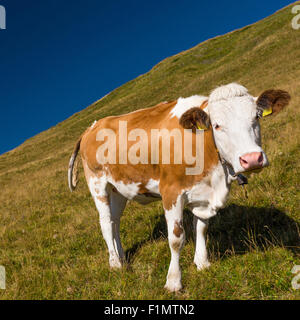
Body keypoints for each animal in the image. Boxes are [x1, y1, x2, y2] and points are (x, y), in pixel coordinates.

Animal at [68, 83, 290, 292]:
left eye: (256, 117)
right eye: (217, 125)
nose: (252, 159)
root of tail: (91, 127)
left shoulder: (204, 193)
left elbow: (202, 227)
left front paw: (202, 263)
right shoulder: (170, 191)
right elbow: (176, 238)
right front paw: (173, 281)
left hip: (118, 188)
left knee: (115, 222)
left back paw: (123, 260)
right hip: (97, 182)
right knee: (106, 223)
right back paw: (114, 263)